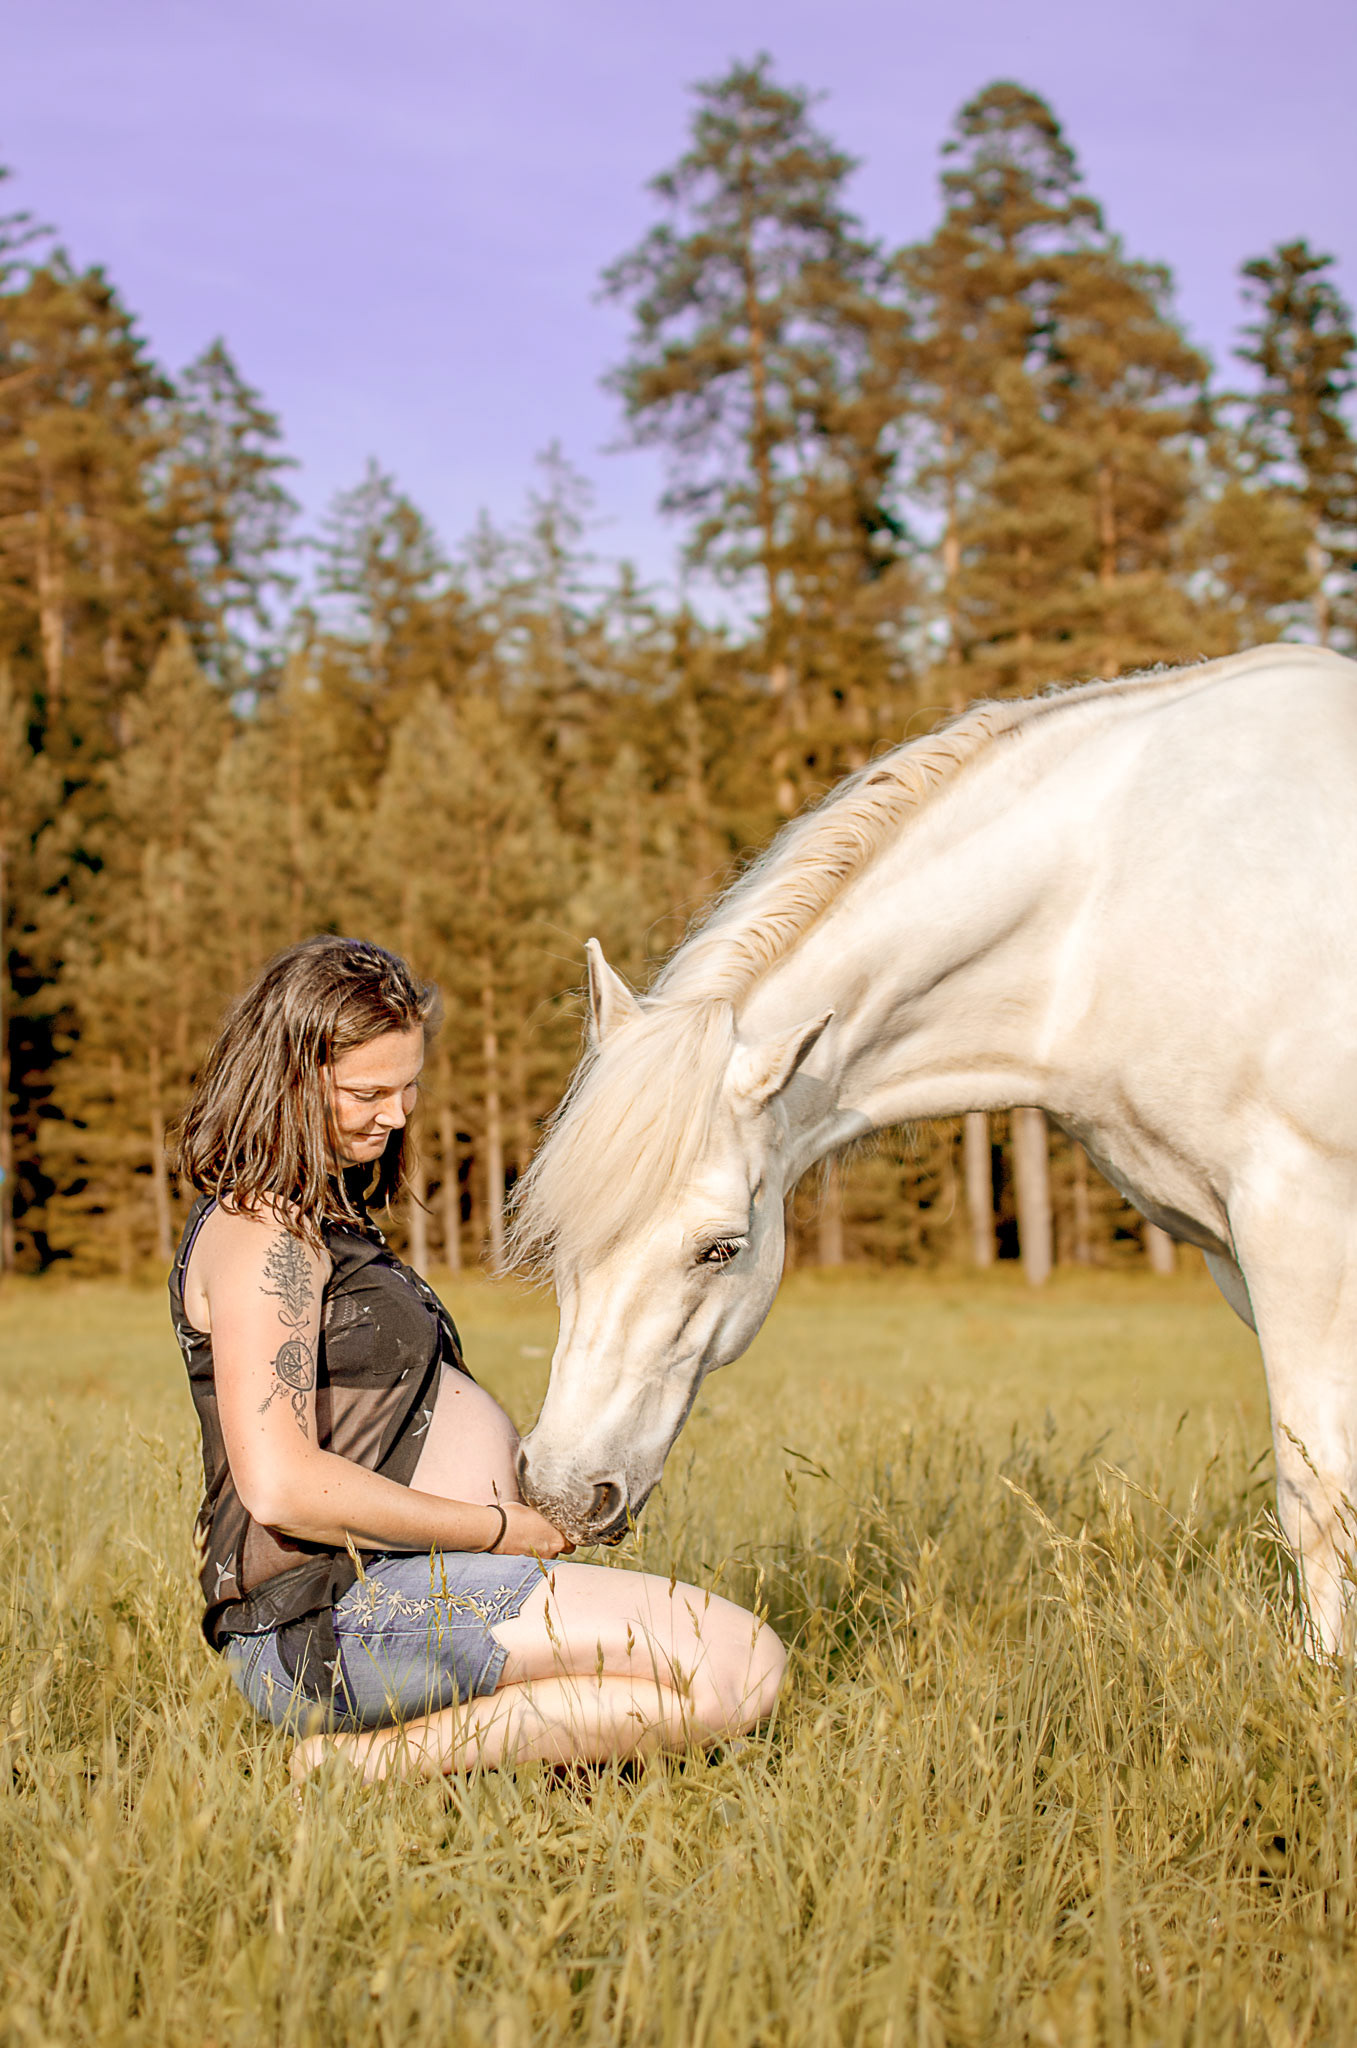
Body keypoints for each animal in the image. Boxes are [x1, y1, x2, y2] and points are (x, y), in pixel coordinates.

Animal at [511, 643, 1357, 1655]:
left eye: (720, 1248)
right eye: (559, 1239)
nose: (561, 1492)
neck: (1118, 900)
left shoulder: (1296, 1218)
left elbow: (1315, 1482)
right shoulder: (1238, 1249)